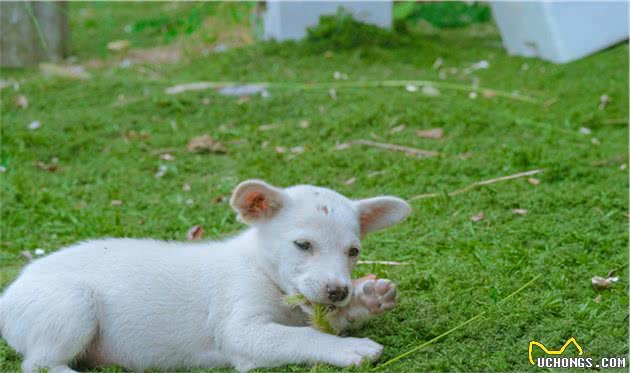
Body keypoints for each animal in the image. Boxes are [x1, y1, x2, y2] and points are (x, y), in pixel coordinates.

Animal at [0, 179, 412, 370]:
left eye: (353, 252)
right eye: (302, 245)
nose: (338, 291)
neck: (263, 272)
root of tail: (9, 293)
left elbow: (322, 323)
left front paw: (369, 300)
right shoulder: (241, 332)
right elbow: (302, 337)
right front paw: (349, 348)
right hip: (72, 305)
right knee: (39, 365)